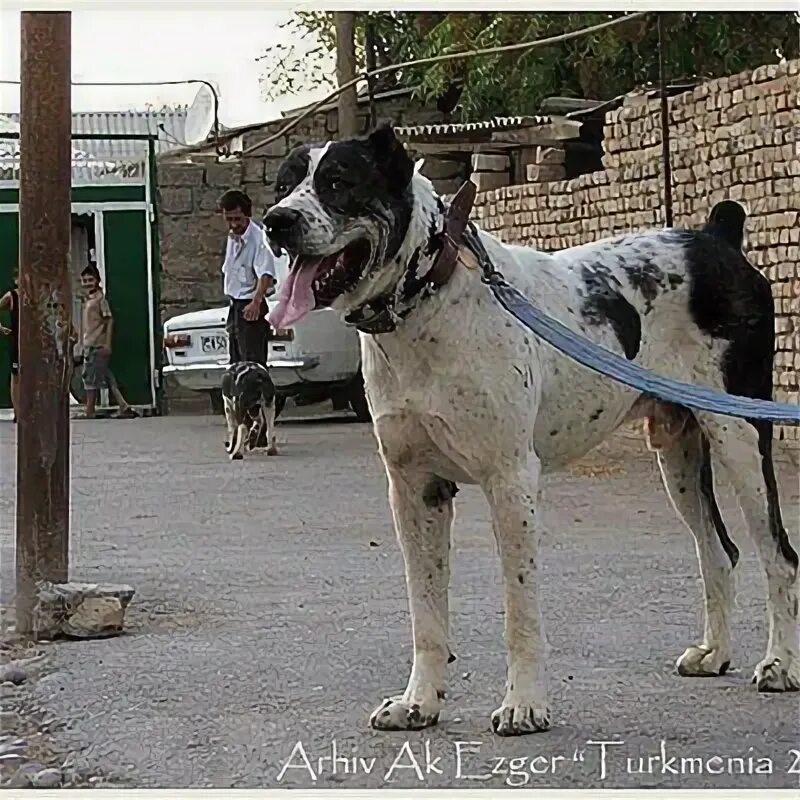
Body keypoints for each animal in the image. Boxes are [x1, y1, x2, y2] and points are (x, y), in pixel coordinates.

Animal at [264, 122, 800, 736]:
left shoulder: (510, 482)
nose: (276, 221)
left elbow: (519, 610)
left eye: (339, 182)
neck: (428, 302)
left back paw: (780, 664)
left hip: (740, 437)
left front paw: (524, 704)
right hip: (678, 454)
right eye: (282, 185)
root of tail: (717, 237)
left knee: (778, 553)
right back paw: (714, 654)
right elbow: (426, 611)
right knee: (718, 551)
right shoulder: (414, 490)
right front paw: (418, 702)